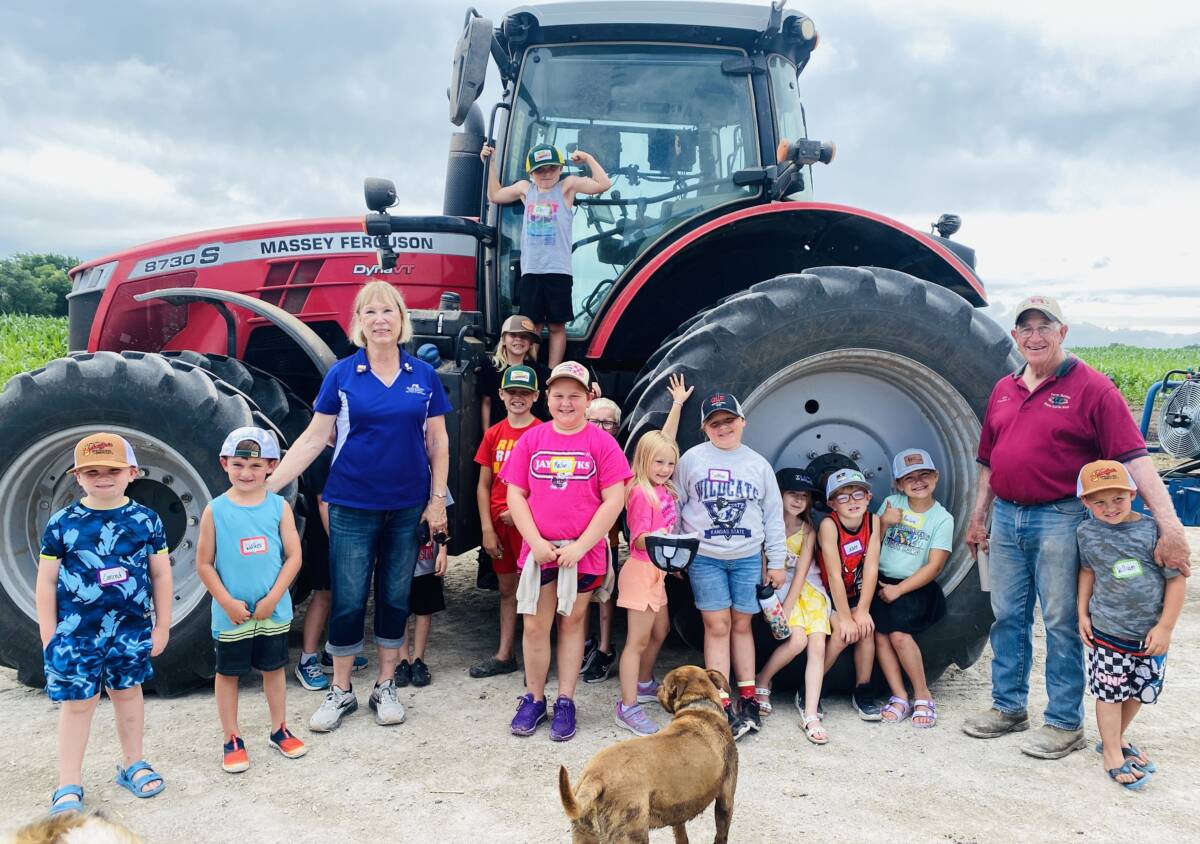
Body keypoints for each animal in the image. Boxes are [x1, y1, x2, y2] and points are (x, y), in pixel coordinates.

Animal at [559, 665, 738, 843]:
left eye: (664, 685)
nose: (657, 687)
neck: (698, 704)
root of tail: (595, 777)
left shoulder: (678, 811)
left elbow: (681, 835)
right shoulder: (726, 800)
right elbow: (721, 835)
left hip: (584, 831)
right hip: (632, 832)